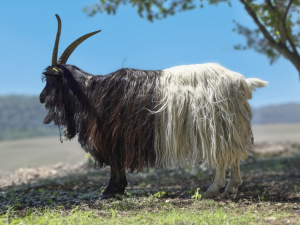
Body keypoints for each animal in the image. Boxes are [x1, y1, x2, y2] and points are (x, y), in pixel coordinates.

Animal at [39, 14, 268, 200]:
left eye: (50, 80)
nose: (41, 98)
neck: (90, 92)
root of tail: (241, 82)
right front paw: (117, 189)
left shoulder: (113, 135)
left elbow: (116, 163)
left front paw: (111, 190)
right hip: (230, 125)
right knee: (233, 155)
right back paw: (231, 188)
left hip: (216, 125)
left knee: (222, 156)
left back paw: (212, 189)